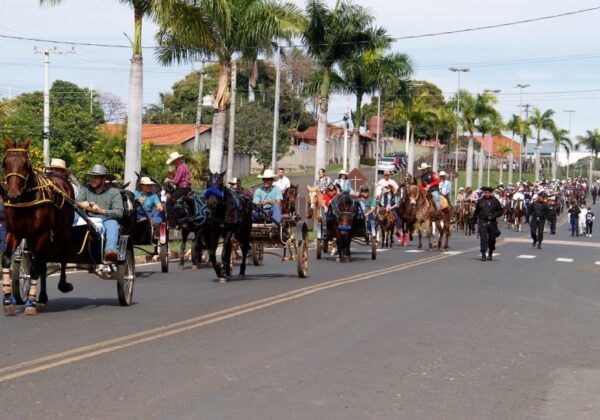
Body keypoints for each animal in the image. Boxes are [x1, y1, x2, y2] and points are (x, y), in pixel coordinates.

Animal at [1, 136, 74, 316]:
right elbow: (7, 259)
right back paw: (41, 298)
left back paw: (62, 285)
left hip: (63, 231)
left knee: (62, 255)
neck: (26, 200)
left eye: (25, 164)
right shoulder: (14, 232)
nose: (13, 195)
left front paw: (30, 303)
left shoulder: (42, 234)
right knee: (41, 262)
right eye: (5, 163)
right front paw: (8, 299)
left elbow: (35, 268)